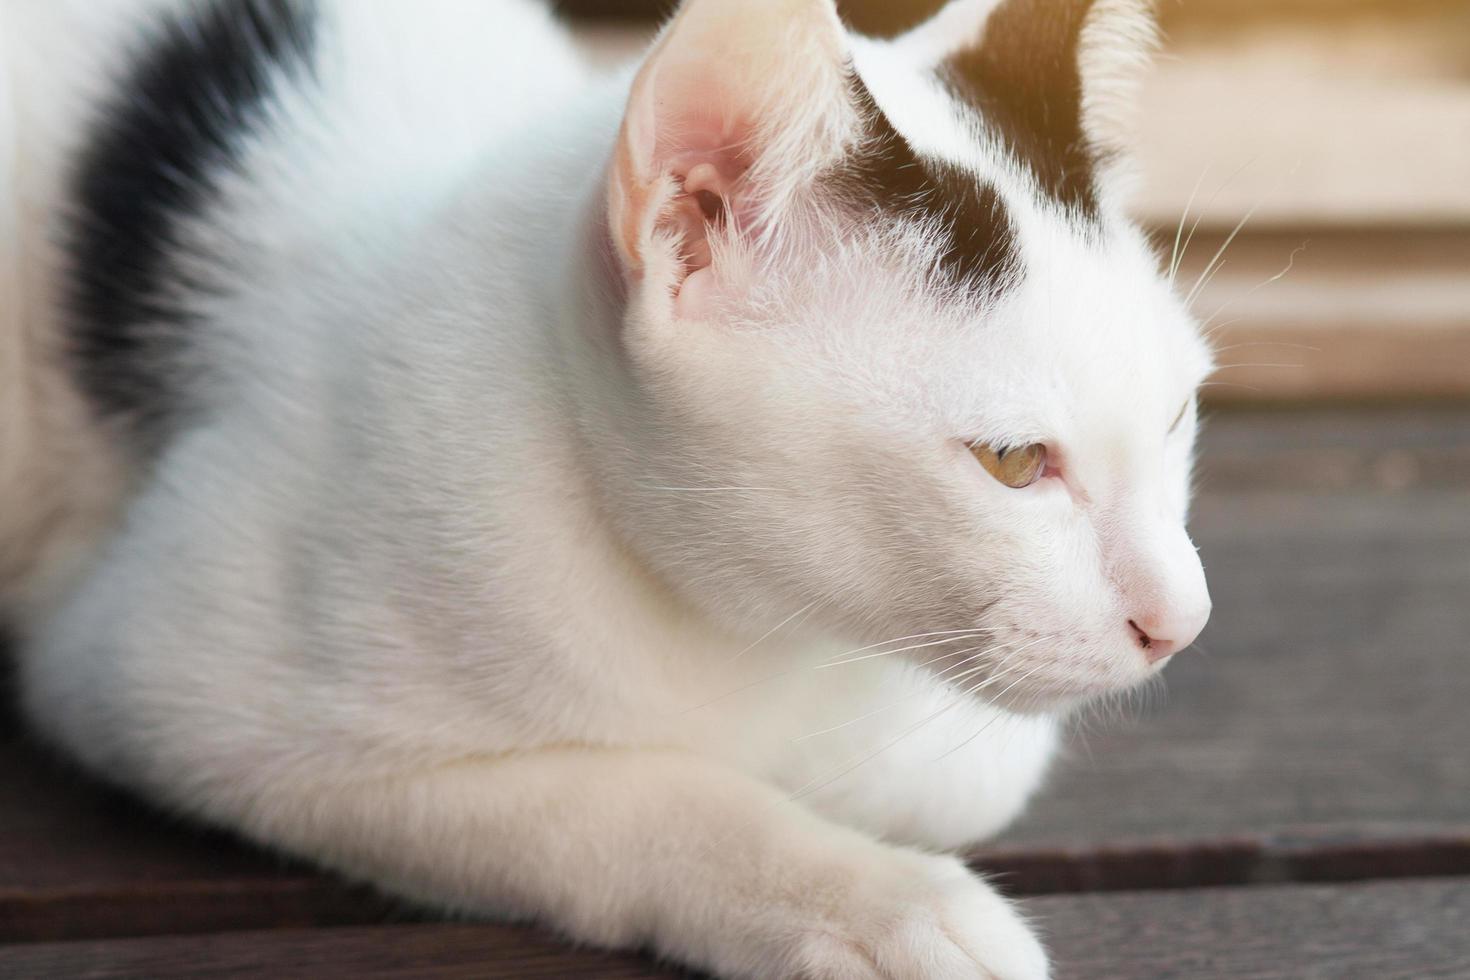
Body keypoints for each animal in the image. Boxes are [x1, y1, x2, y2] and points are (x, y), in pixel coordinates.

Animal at [0, 1, 1211, 975]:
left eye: (1176, 416)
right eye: (1013, 461)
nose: (1182, 623)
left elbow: (962, 767)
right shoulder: (159, 674)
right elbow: (641, 793)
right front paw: (878, 902)